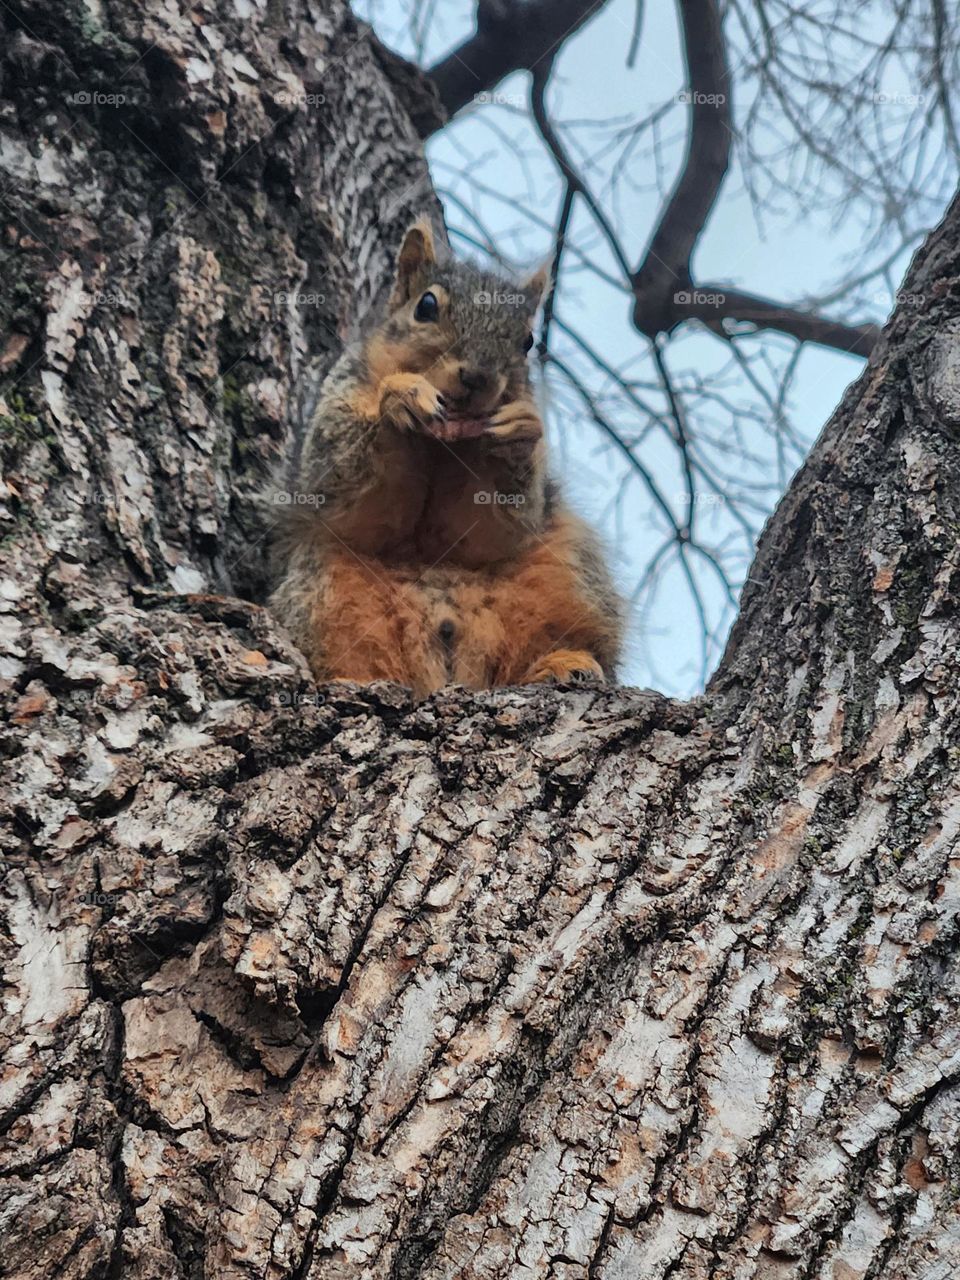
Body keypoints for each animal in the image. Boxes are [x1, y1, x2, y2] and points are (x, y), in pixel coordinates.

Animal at [270, 218, 624, 699]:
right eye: (426, 306)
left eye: (528, 340)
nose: (477, 377)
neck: (441, 448)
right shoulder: (338, 404)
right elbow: (343, 485)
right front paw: (401, 396)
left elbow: (492, 526)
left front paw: (519, 432)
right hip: (321, 595)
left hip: (574, 581)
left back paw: (564, 662)